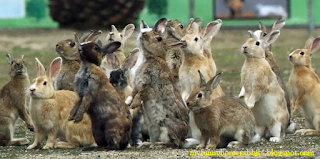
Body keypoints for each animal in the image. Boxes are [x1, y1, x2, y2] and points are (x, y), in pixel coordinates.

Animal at [129, 18, 190, 148]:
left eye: (159, 38)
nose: (142, 33)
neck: (152, 57)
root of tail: (183, 140)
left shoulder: (148, 81)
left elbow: (140, 93)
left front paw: (134, 105)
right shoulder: (137, 83)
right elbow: (133, 92)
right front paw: (128, 102)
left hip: (166, 129)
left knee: (173, 143)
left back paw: (157, 144)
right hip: (153, 128)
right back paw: (146, 144)